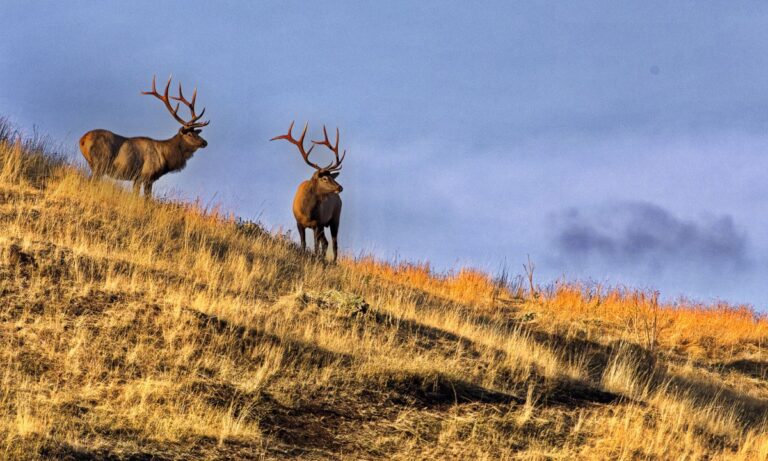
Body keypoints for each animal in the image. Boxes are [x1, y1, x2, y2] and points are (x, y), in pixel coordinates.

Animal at [79, 75, 209, 197]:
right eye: (189, 134)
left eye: (196, 133)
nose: (205, 142)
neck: (166, 157)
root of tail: (83, 140)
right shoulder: (146, 176)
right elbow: (146, 198)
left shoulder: (137, 178)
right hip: (100, 163)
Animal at [271, 122, 346, 262]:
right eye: (324, 178)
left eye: (332, 177)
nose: (340, 187)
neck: (307, 211)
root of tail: (339, 199)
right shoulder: (299, 222)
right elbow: (304, 244)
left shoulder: (317, 224)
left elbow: (315, 247)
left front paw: (315, 258)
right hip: (325, 225)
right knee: (326, 242)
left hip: (335, 218)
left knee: (334, 243)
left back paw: (333, 262)